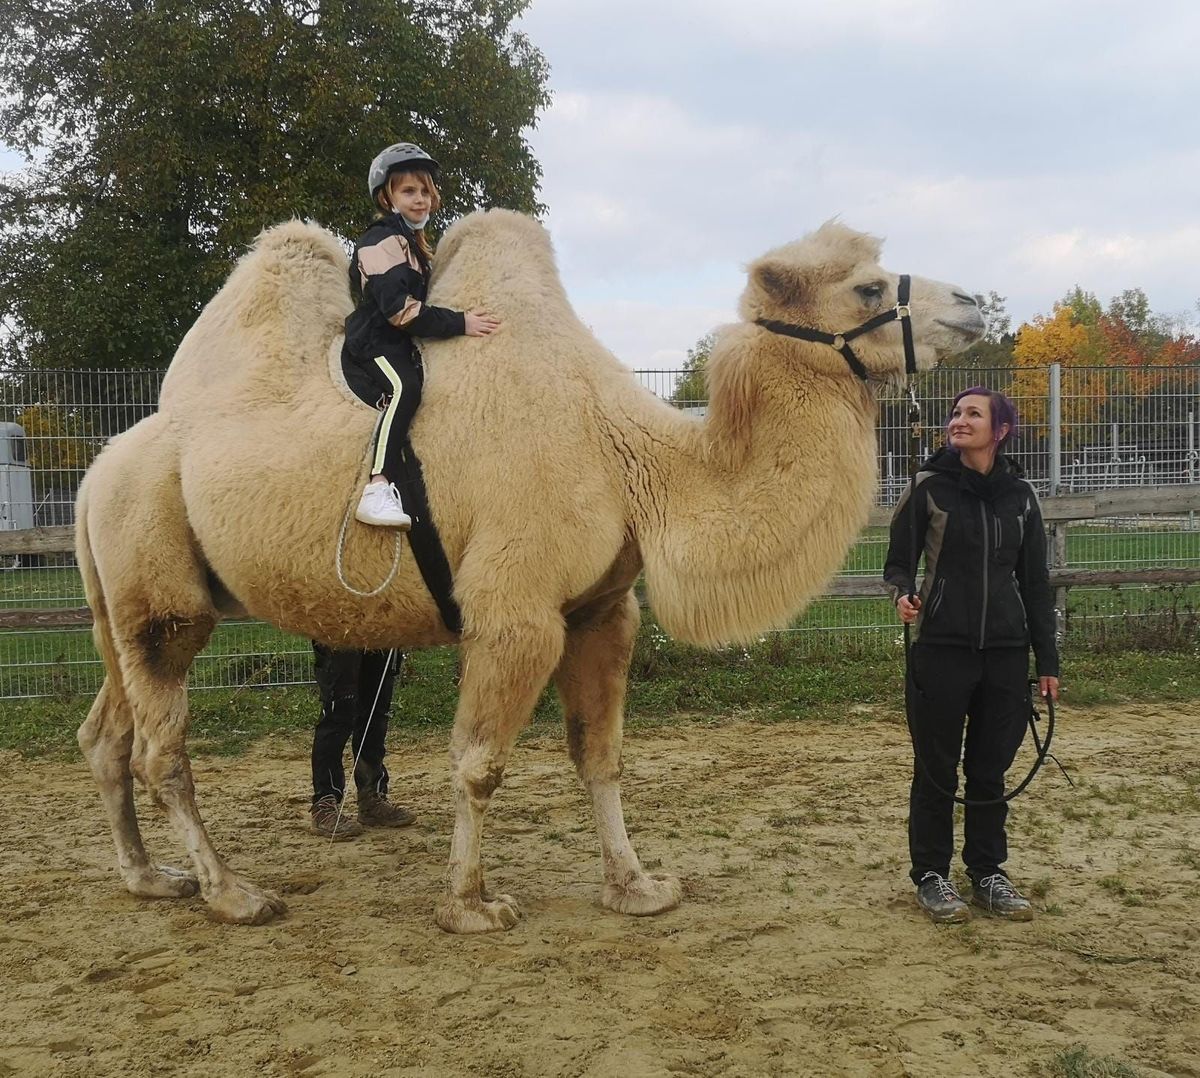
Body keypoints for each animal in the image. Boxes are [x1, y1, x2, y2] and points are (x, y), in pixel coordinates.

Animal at [75, 207, 984, 921]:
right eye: (867, 288)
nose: (976, 304)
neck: (634, 460)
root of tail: (93, 476)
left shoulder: (602, 612)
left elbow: (600, 757)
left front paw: (636, 887)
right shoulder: (517, 613)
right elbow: (480, 764)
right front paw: (471, 904)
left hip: (124, 607)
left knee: (106, 734)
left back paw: (147, 877)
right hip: (163, 599)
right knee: (161, 751)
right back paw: (233, 894)